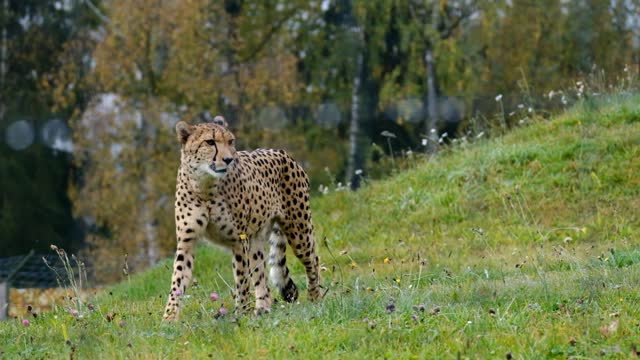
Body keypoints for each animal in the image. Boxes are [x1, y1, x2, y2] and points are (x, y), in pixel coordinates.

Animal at [162, 115, 322, 320]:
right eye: (210, 142)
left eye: (230, 141)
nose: (229, 159)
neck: (205, 186)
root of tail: (282, 152)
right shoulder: (186, 241)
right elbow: (178, 280)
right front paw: (169, 317)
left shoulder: (239, 240)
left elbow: (241, 278)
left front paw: (241, 313)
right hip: (256, 242)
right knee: (262, 277)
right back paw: (262, 308)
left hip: (299, 230)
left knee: (313, 260)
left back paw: (315, 297)